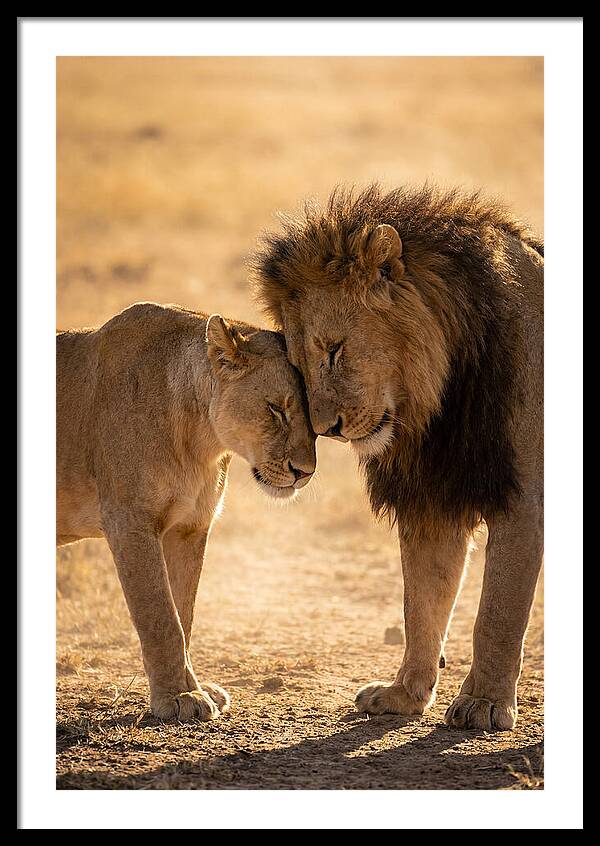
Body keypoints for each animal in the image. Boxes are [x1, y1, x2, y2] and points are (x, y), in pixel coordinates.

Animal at [57, 302, 316, 721]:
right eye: (277, 410)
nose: (305, 472)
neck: (201, 440)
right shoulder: (129, 522)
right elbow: (161, 617)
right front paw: (180, 696)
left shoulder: (190, 527)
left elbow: (184, 612)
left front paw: (194, 686)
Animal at [252, 184, 543, 731]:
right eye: (298, 365)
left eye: (334, 349)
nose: (327, 429)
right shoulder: (432, 501)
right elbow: (421, 604)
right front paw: (405, 694)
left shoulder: (524, 498)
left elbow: (497, 613)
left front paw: (484, 703)